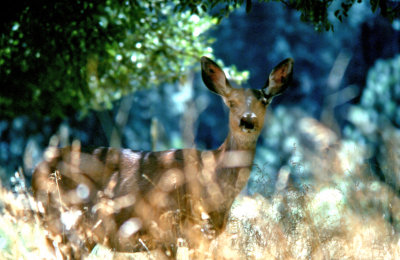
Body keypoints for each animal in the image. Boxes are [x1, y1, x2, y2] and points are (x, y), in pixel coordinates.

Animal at [32, 55, 294, 258]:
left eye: (265, 101)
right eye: (230, 102)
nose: (247, 120)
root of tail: (37, 170)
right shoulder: (174, 231)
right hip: (64, 223)